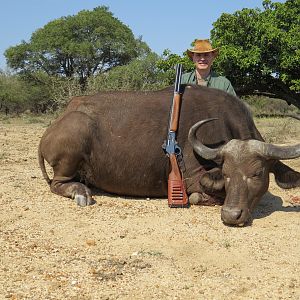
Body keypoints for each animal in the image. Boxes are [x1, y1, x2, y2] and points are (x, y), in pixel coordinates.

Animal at [38, 84, 300, 225]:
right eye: (225, 173)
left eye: (257, 173)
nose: (231, 215)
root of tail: (60, 120)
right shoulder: (193, 178)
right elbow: (200, 193)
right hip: (73, 145)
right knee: (58, 183)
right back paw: (81, 193)